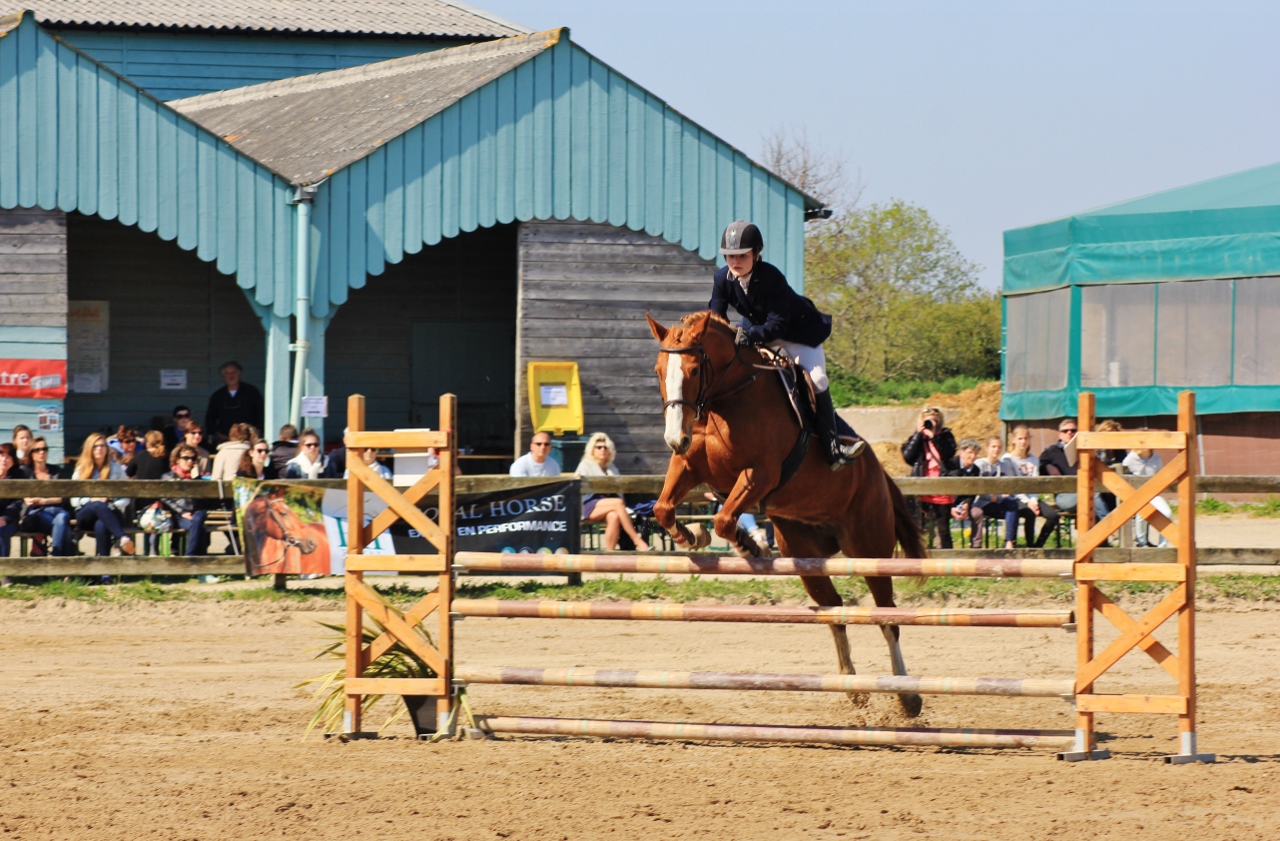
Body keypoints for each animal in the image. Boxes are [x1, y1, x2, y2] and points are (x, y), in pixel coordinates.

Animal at [655, 309, 926, 716]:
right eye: (659, 370)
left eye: (693, 369)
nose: (675, 438)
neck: (728, 398)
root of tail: (880, 473)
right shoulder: (690, 466)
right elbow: (664, 509)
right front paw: (692, 536)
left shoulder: (760, 474)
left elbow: (724, 518)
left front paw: (750, 547)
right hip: (804, 552)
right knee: (834, 609)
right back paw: (852, 688)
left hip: (869, 547)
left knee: (887, 616)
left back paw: (907, 696)